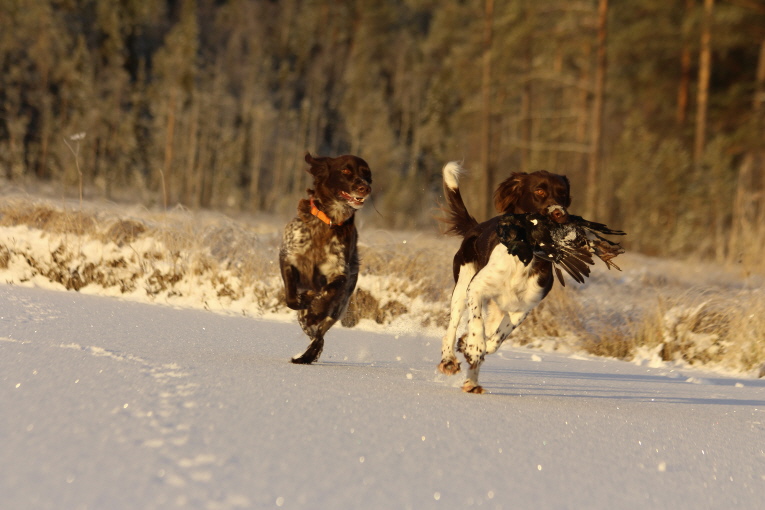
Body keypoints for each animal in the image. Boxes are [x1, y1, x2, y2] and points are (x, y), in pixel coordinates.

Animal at [280, 151, 372, 362]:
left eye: (367, 173)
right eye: (346, 170)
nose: (365, 187)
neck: (327, 221)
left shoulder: (339, 272)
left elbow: (329, 290)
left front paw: (316, 306)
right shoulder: (288, 257)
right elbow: (291, 297)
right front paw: (305, 299)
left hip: (339, 306)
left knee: (320, 335)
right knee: (314, 332)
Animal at [438, 161, 572, 392]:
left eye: (563, 194)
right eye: (539, 191)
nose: (559, 213)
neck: (524, 256)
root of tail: (476, 227)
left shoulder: (524, 307)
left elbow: (496, 339)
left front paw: (471, 346)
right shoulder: (476, 288)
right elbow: (477, 324)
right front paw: (473, 345)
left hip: (498, 307)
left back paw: (472, 382)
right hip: (462, 286)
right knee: (452, 326)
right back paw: (449, 360)